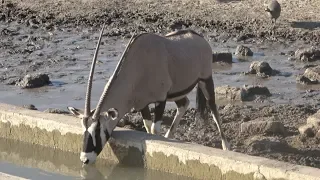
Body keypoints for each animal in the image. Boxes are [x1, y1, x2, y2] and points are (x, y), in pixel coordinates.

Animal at [68, 23, 230, 165]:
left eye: (97, 130)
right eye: (83, 129)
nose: (85, 159)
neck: (138, 65)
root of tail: (199, 37)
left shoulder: (161, 99)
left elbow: (154, 129)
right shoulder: (142, 104)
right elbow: (147, 127)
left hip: (205, 80)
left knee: (213, 109)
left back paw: (226, 147)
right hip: (176, 92)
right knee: (184, 104)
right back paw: (169, 136)